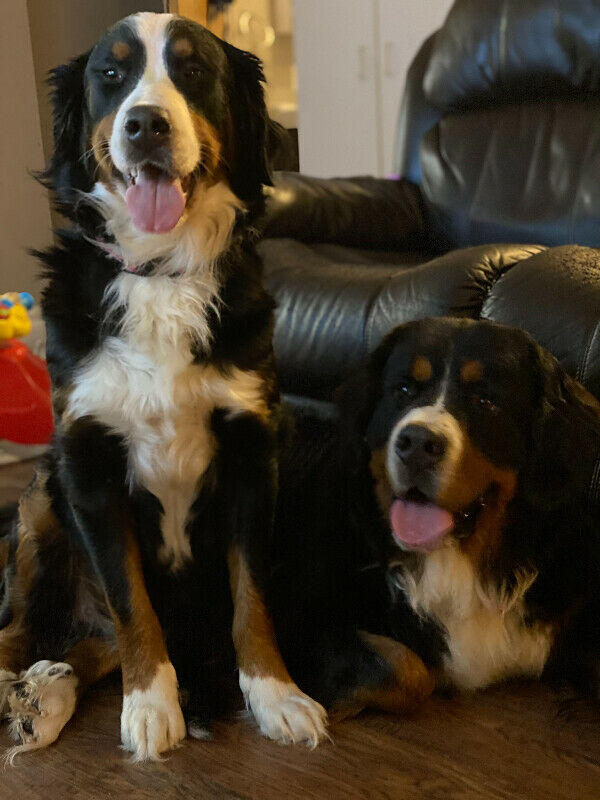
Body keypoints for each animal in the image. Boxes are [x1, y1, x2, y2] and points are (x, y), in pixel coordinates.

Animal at [0, 14, 328, 764]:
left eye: (193, 69)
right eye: (111, 75)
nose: (144, 124)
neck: (159, 273)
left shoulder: (251, 453)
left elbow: (251, 598)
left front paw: (275, 695)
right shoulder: (88, 464)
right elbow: (131, 606)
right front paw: (151, 705)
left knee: (86, 647)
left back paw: (44, 696)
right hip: (40, 504)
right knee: (26, 633)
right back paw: (28, 690)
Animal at [270, 318, 600, 720]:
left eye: (485, 401)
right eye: (404, 390)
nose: (416, 444)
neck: (459, 562)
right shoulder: (295, 607)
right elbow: (405, 668)